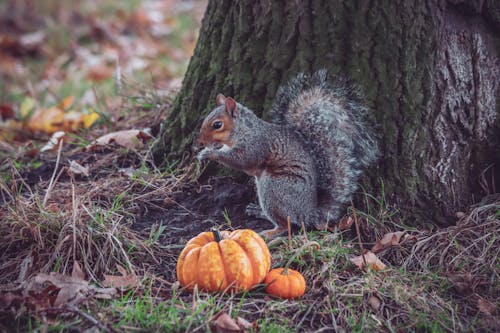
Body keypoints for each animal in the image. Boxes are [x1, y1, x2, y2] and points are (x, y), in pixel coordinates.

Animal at [197, 68, 376, 237]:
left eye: (217, 125)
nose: (201, 142)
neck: (243, 130)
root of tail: (309, 214)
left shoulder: (257, 144)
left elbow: (243, 159)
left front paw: (210, 154)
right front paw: (206, 151)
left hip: (274, 188)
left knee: (287, 224)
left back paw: (270, 232)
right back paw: (259, 212)